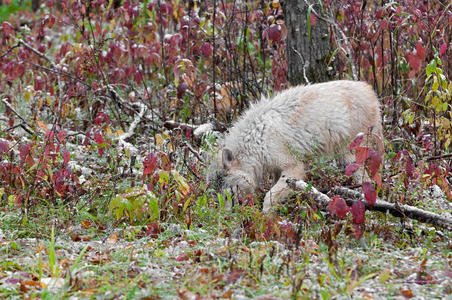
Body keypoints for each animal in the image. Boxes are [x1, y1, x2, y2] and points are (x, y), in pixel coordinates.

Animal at [208, 79, 382, 211]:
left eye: (228, 192)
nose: (225, 216)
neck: (257, 139)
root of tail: (371, 92)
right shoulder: (277, 170)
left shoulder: (294, 168)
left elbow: (269, 197)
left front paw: (266, 218)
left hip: (348, 157)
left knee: (368, 180)